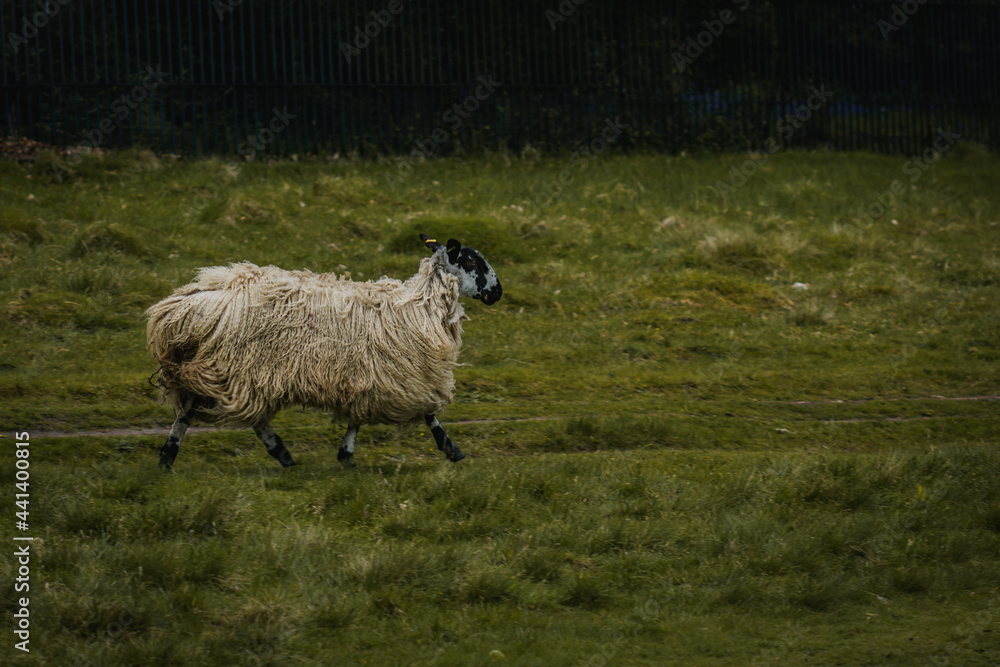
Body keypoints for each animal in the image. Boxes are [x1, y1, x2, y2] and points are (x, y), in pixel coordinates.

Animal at [145, 234, 503, 469]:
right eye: (472, 260)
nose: (498, 292)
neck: (421, 304)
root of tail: (192, 304)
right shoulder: (403, 375)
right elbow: (429, 413)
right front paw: (452, 450)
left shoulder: (369, 377)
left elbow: (358, 417)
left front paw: (346, 456)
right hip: (236, 366)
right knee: (204, 412)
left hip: (231, 370)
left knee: (219, 413)